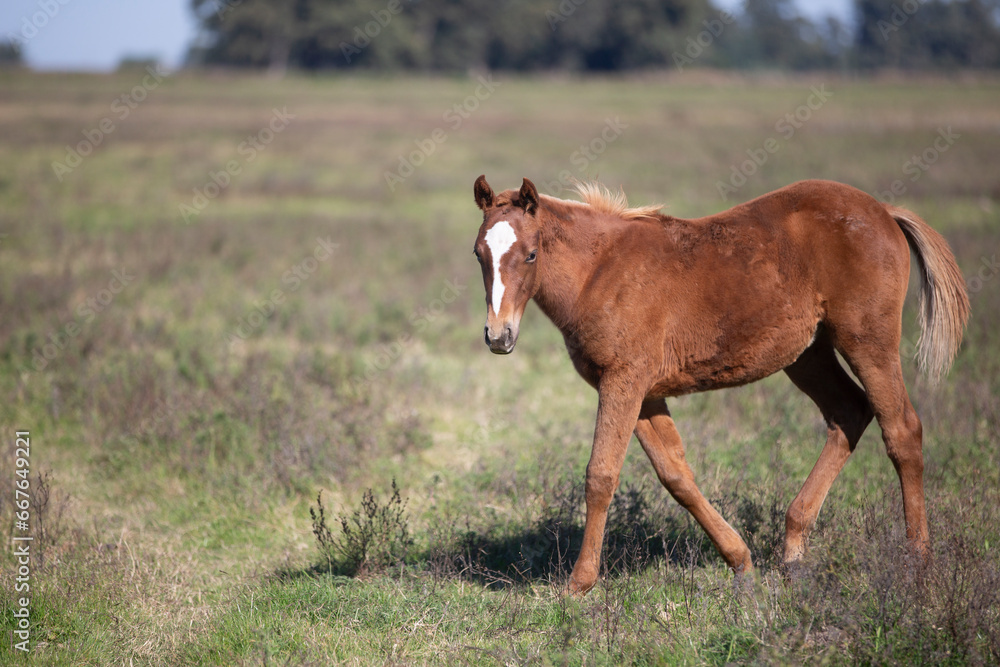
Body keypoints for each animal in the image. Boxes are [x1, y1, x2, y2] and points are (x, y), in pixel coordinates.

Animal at [471, 175, 969, 596]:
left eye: (531, 253)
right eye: (479, 254)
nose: (498, 336)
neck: (600, 271)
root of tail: (883, 210)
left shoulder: (624, 381)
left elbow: (601, 475)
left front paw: (579, 584)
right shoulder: (642, 391)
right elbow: (676, 475)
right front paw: (741, 561)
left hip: (867, 339)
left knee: (901, 430)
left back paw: (918, 564)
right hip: (808, 353)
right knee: (850, 412)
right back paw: (792, 551)